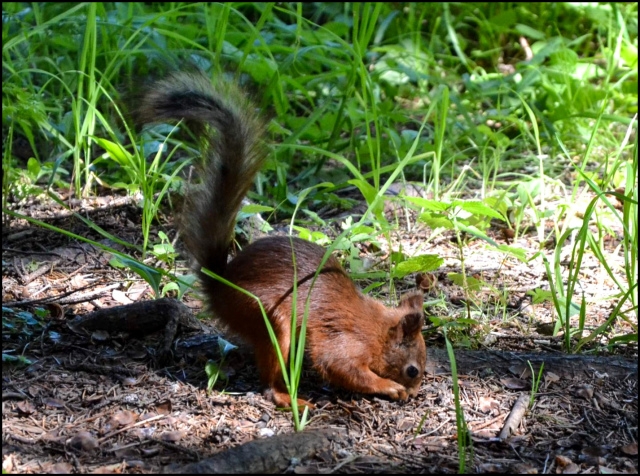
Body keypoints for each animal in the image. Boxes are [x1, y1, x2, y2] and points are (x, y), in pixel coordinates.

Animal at [141, 72, 430, 408]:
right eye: (412, 370)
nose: (415, 394)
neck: (379, 330)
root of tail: (219, 287)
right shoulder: (348, 341)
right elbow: (340, 366)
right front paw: (389, 386)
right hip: (269, 318)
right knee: (268, 379)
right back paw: (288, 396)